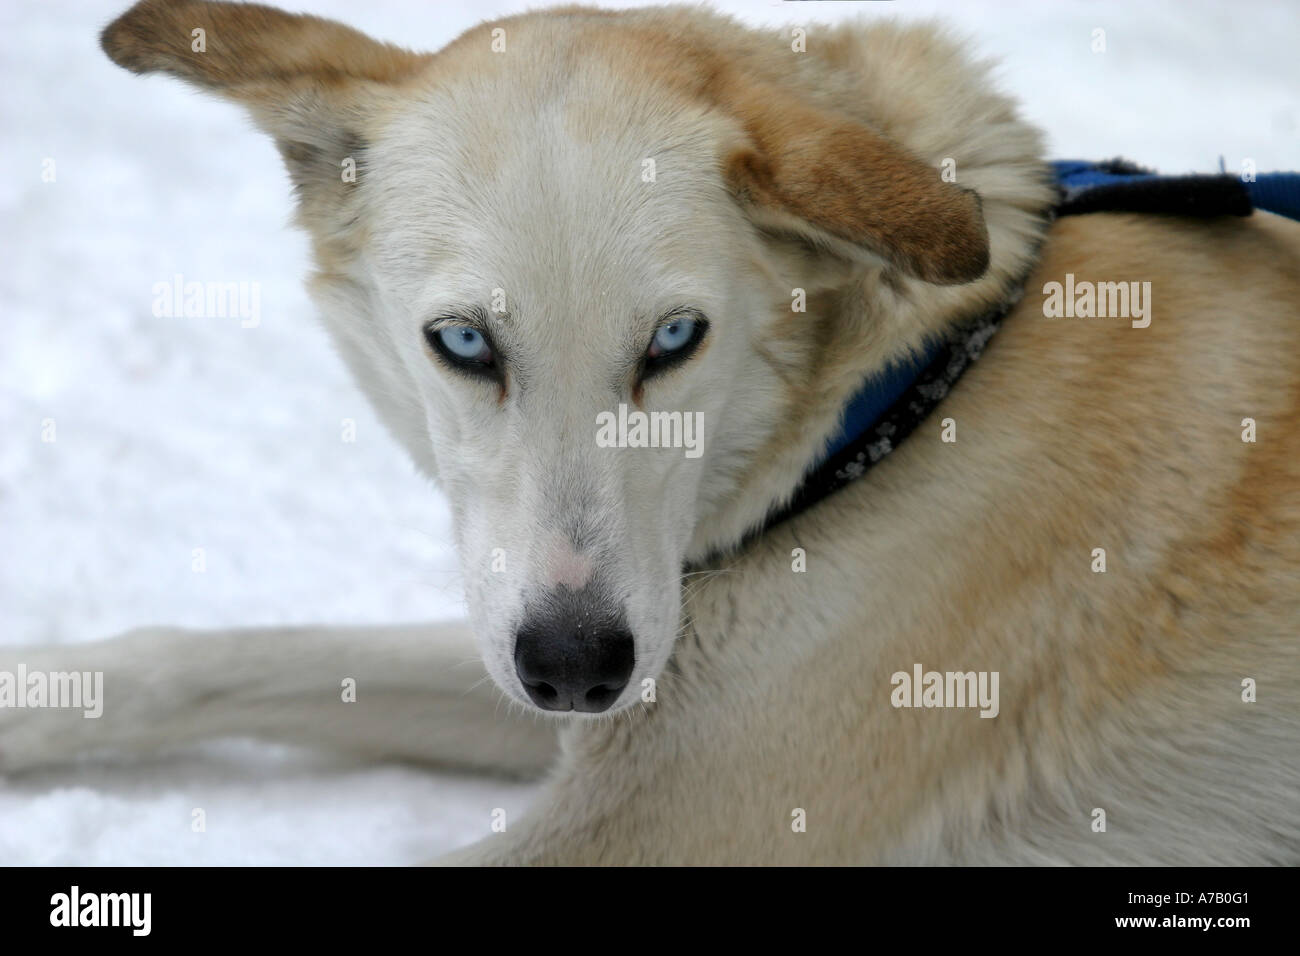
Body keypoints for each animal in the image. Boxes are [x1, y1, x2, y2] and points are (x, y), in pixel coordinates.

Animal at [2, 0, 1300, 863]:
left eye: (675, 337)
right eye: (463, 341)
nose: (577, 668)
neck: (900, 397)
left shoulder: (649, 806)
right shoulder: (578, 638)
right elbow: (205, 652)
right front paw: (31, 694)